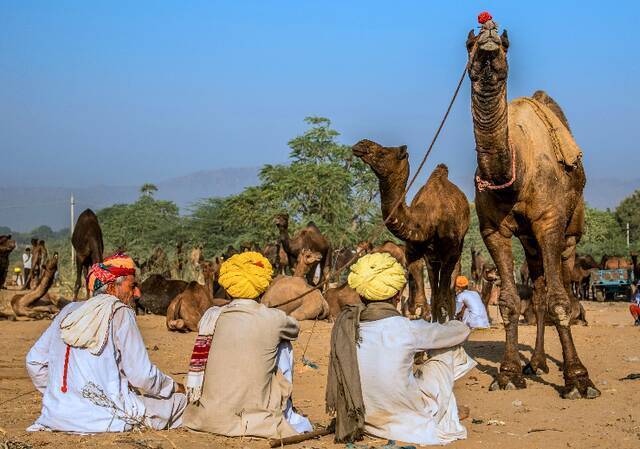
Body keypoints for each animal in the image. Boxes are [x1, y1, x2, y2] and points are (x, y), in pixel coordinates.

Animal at [464, 17, 596, 398]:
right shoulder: (493, 230)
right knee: (537, 291)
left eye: (506, 43)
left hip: (569, 231)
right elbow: (509, 302)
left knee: (563, 285)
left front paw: (578, 379)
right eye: (469, 43)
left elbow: (560, 300)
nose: (489, 34)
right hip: (530, 241)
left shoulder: (549, 222)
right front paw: (508, 373)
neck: (515, 171)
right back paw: (535, 362)